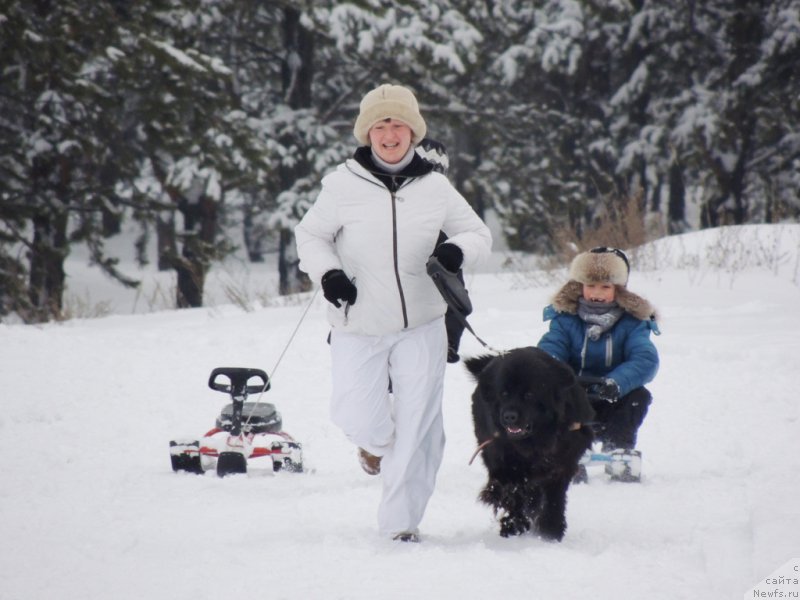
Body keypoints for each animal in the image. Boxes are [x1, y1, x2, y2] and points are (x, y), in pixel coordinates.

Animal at [462, 346, 592, 540]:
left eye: (529, 394)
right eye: (504, 393)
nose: (509, 416)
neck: (535, 442)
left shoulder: (562, 464)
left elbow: (554, 497)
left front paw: (551, 531)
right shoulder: (505, 463)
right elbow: (513, 493)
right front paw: (513, 525)